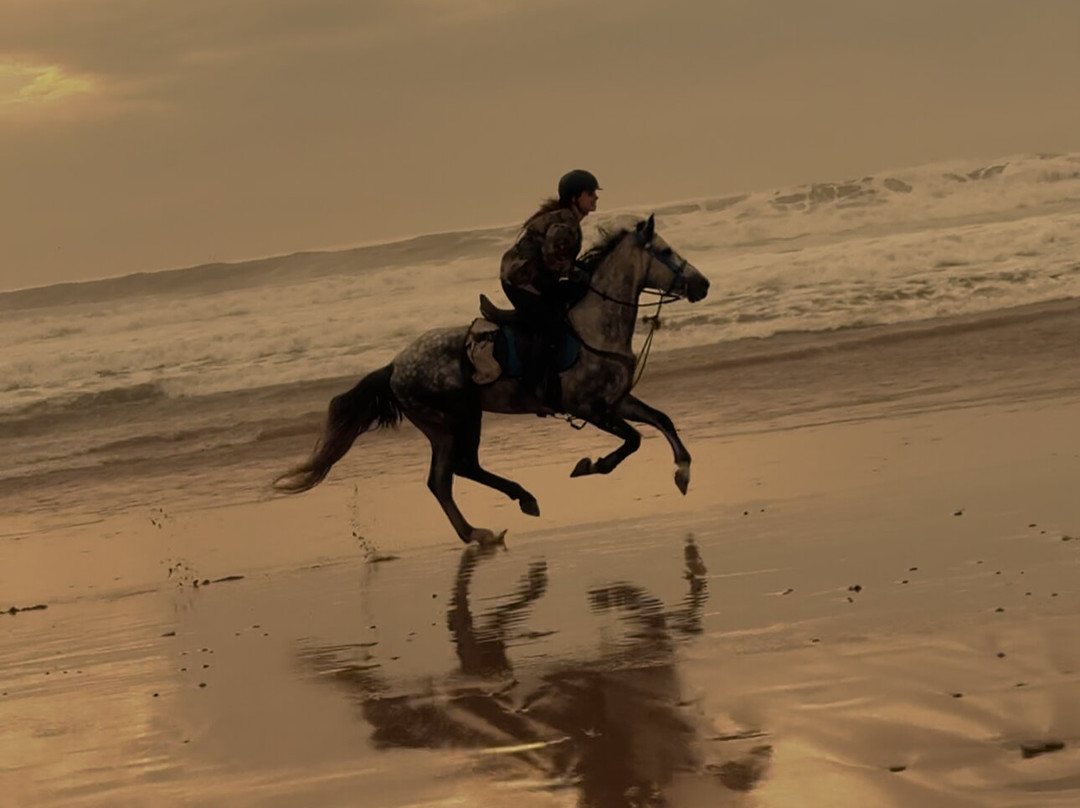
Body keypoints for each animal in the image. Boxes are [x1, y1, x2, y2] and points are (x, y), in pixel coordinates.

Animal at [273, 214, 710, 545]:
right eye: (666, 252)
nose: (702, 284)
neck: (595, 326)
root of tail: (395, 367)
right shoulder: (589, 407)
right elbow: (633, 440)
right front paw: (590, 465)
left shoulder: (617, 401)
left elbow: (662, 420)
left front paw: (683, 472)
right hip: (461, 416)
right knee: (458, 469)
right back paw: (512, 507)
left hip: (441, 426)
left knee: (444, 478)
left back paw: (480, 530)